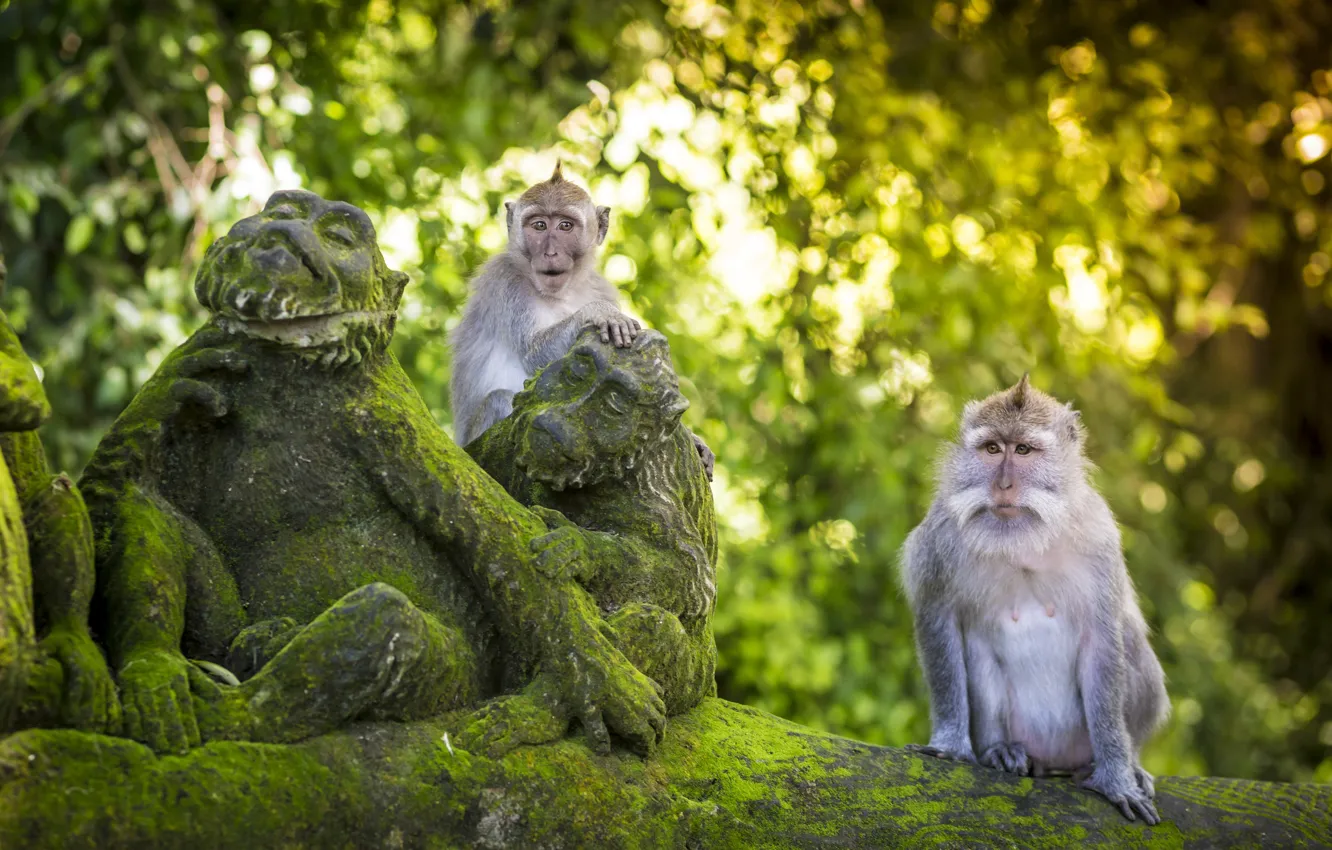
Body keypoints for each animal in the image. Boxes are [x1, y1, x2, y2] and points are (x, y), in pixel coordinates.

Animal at [898, 374, 1169, 825]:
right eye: (993, 449)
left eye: (1023, 450)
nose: (1003, 485)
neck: (1023, 540)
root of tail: (1053, 759)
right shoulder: (941, 537)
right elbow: (939, 621)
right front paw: (952, 744)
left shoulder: (1098, 538)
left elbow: (1103, 640)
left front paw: (1116, 777)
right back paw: (1000, 751)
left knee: (1129, 638)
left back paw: (1121, 763)